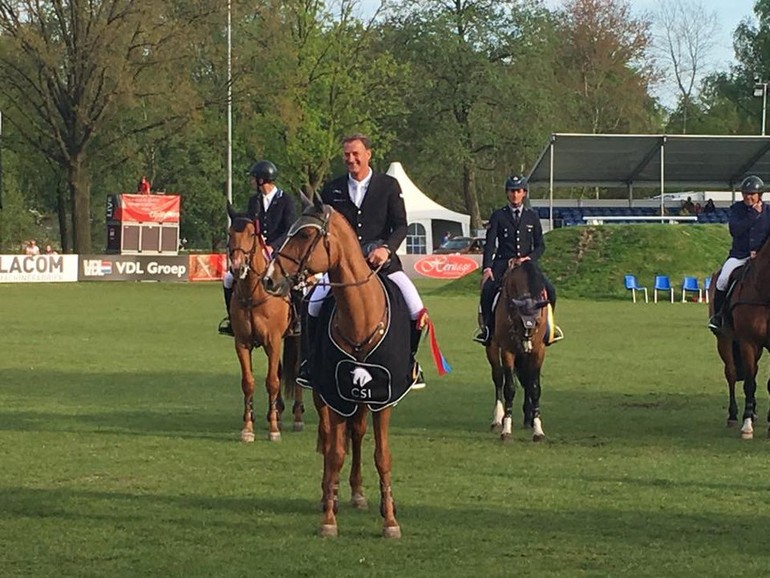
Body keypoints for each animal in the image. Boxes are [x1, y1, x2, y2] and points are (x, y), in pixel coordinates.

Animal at [224, 204, 302, 440]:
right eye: (229, 234)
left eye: (252, 234)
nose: (237, 268)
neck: (253, 293)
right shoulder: (242, 343)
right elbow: (248, 382)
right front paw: (248, 427)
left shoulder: (273, 340)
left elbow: (272, 382)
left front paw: (274, 430)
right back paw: (276, 411)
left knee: (296, 372)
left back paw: (296, 417)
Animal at [262, 197, 412, 536]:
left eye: (305, 234)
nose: (269, 279)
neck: (360, 317)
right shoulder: (334, 396)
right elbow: (334, 453)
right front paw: (329, 518)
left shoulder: (382, 399)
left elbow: (381, 455)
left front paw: (390, 520)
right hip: (325, 396)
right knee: (333, 438)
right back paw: (328, 494)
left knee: (356, 433)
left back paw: (358, 494)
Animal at [486, 260, 544, 440]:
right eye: (518, 318)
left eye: (537, 321)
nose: (526, 345)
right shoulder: (508, 351)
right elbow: (509, 388)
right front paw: (506, 428)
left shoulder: (538, 352)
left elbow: (534, 387)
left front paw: (538, 429)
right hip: (492, 348)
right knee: (498, 378)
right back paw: (498, 418)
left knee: (526, 381)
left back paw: (528, 418)